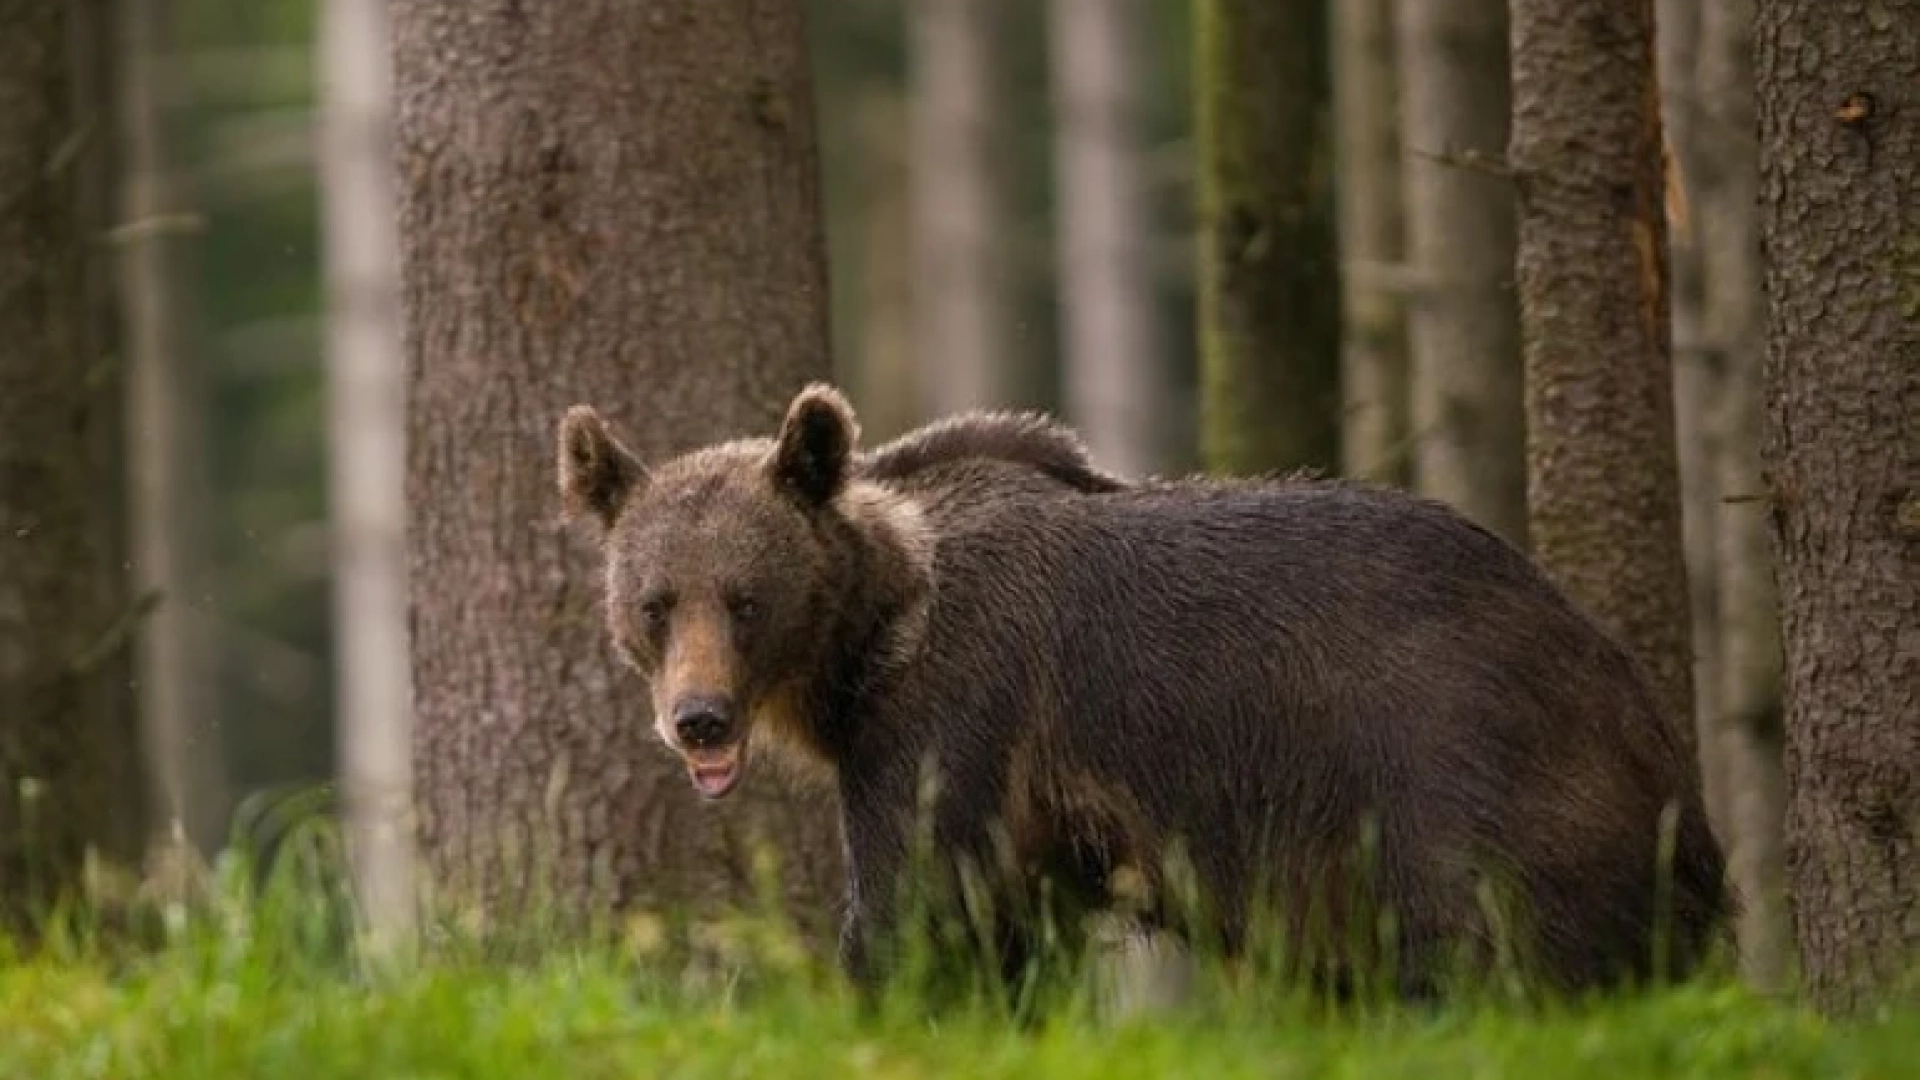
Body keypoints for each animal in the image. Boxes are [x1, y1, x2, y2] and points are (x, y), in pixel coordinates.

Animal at [552, 382, 1728, 999]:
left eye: (745, 598)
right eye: (655, 602)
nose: (698, 718)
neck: (870, 647)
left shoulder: (956, 715)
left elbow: (916, 906)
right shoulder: (1042, 818)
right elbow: (1013, 937)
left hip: (1459, 770)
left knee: (1492, 952)